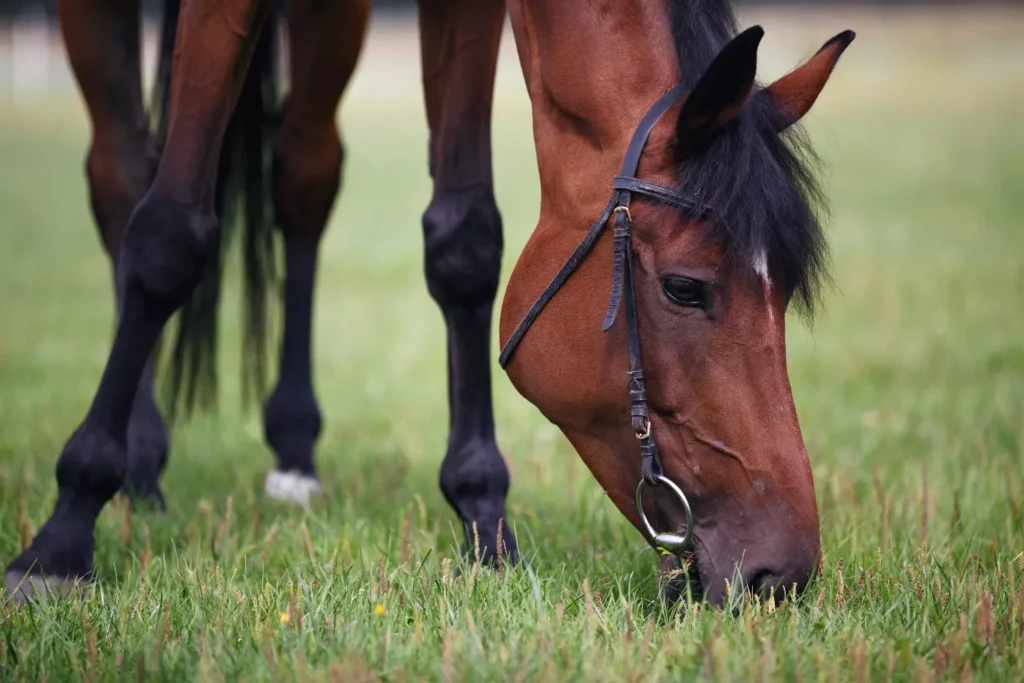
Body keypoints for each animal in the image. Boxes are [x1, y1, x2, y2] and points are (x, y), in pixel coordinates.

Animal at [4, 0, 852, 608]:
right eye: (685, 287)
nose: (783, 573)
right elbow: (168, 238)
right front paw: (62, 536)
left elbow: (465, 241)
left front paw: (485, 518)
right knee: (123, 177)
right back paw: (138, 460)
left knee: (303, 173)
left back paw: (293, 447)